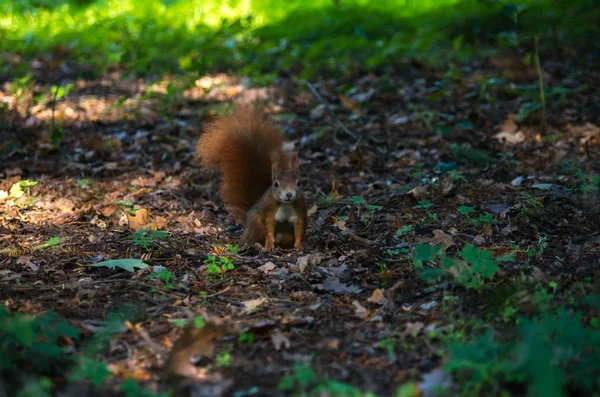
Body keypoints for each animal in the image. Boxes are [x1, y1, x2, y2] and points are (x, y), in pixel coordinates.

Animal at [196, 105, 308, 251]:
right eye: (276, 184)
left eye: (299, 183)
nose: (289, 194)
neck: (286, 204)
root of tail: (247, 226)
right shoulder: (268, 213)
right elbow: (268, 229)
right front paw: (269, 246)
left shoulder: (299, 211)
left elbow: (300, 229)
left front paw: (299, 246)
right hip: (256, 223)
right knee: (253, 238)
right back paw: (256, 245)